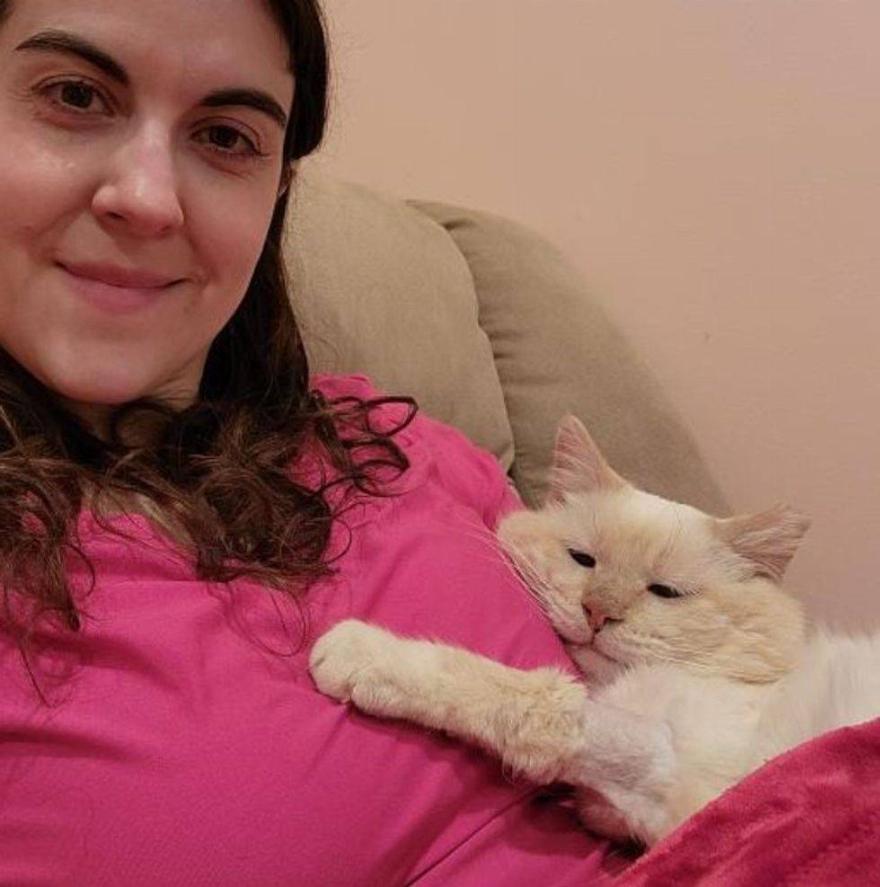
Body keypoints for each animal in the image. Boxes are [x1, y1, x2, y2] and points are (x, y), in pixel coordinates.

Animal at [310, 414, 879, 846]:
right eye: (583, 559)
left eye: (665, 592)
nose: (597, 613)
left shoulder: (680, 772)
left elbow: (525, 697)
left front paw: (360, 653)